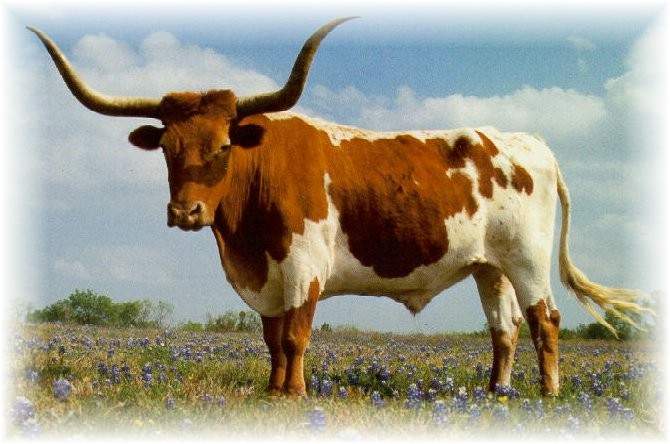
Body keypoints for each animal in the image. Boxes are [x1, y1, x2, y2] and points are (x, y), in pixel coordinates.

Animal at [30, 18, 648, 397]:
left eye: (225, 146)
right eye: (167, 149)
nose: (186, 214)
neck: (242, 237)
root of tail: (529, 142)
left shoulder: (304, 265)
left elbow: (295, 335)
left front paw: (296, 394)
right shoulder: (266, 274)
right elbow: (272, 337)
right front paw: (273, 391)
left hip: (526, 259)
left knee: (546, 320)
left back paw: (548, 393)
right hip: (488, 267)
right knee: (505, 327)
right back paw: (497, 393)